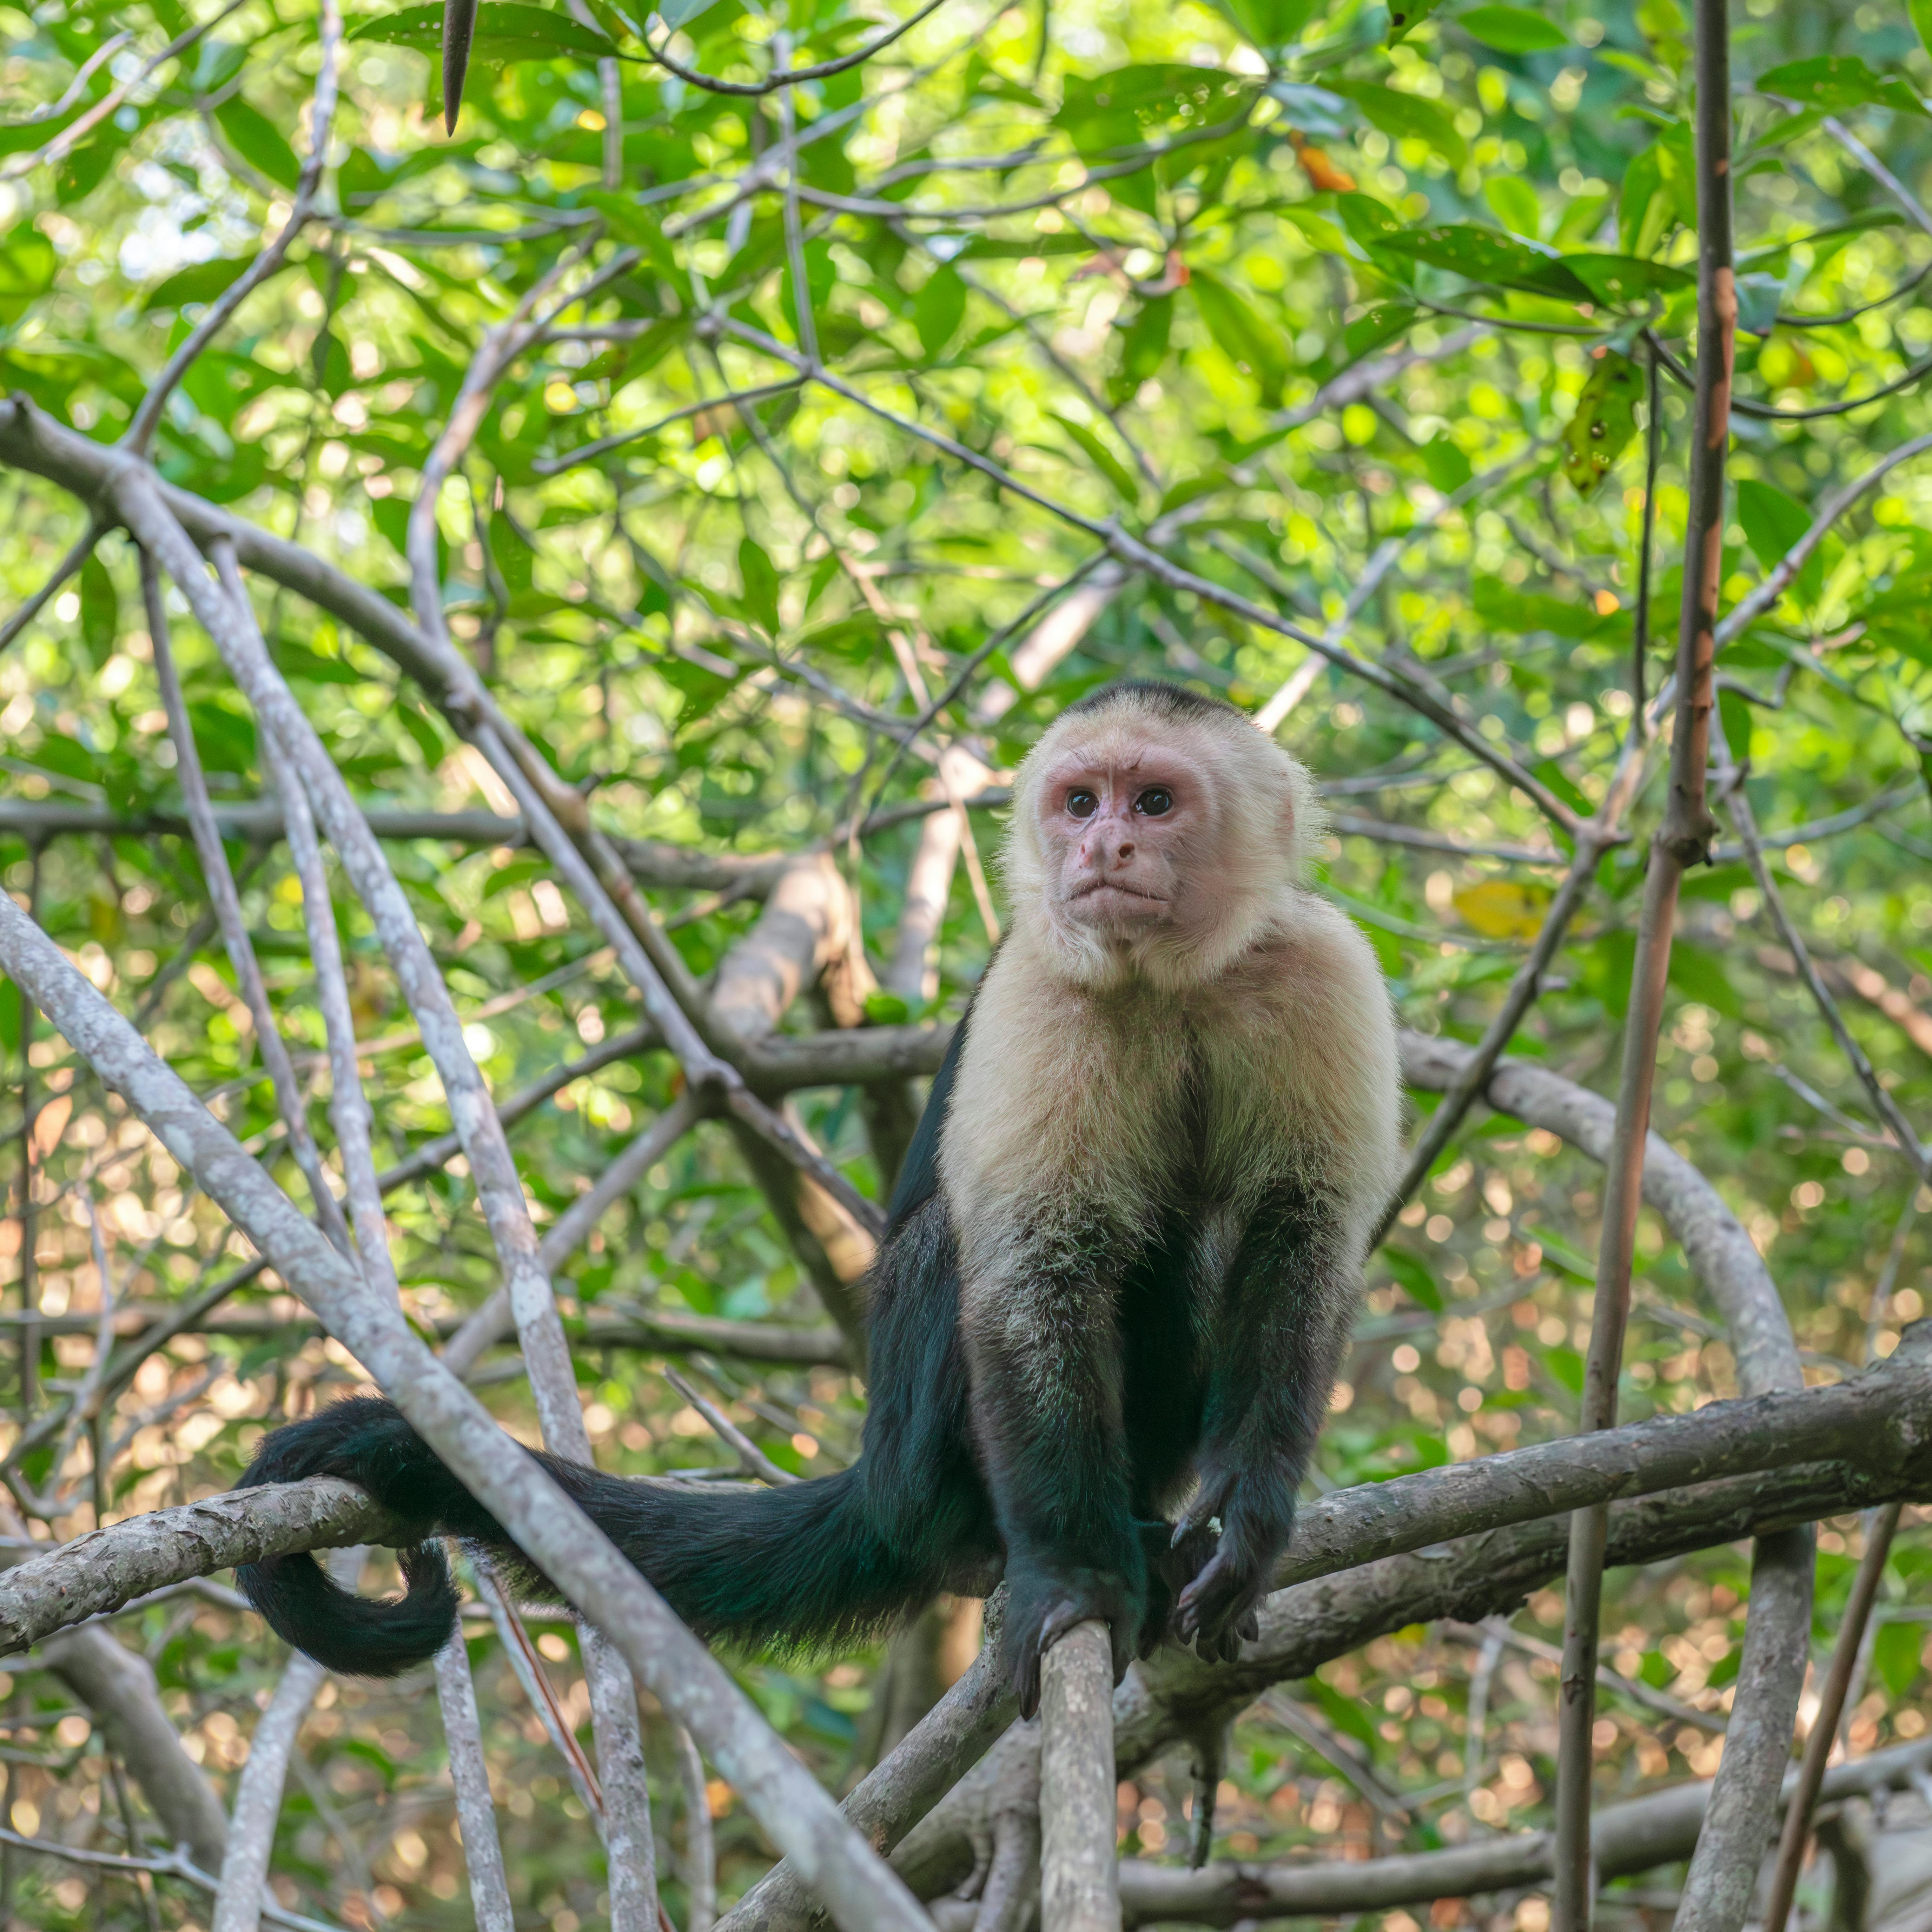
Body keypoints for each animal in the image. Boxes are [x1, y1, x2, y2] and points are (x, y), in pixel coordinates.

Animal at [236, 679, 1402, 1717]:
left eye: (1153, 802)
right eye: (1080, 802)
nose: (1101, 850)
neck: (1168, 979)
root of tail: (875, 1476)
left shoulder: (1320, 965)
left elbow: (1301, 1237)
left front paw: (1248, 1518)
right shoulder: (1039, 990)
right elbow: (1033, 1271)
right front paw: (1073, 1575)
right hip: (915, 1457)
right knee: (965, 1251)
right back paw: (991, 1543)